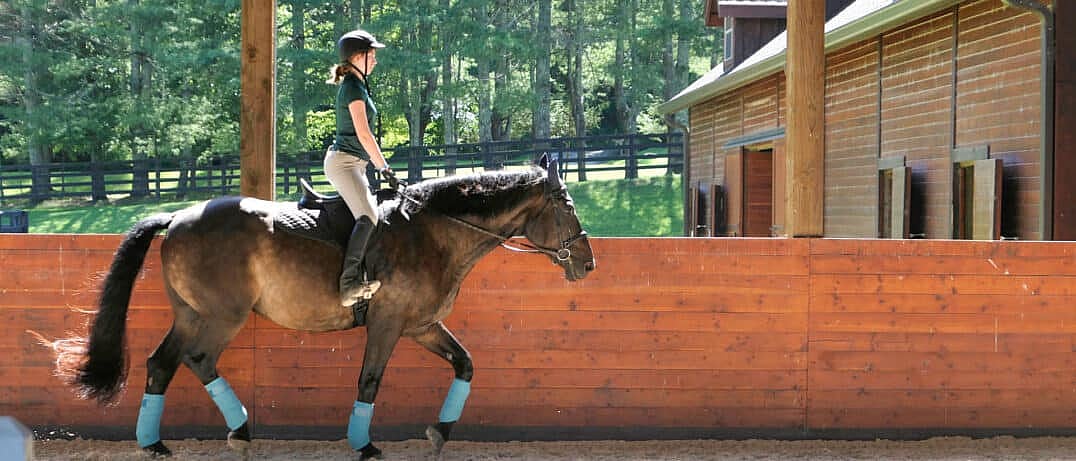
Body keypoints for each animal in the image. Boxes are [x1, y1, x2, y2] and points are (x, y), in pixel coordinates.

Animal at [42, 154, 595, 459]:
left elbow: (465, 364)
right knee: (199, 359)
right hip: (223, 317)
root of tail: (179, 217)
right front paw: (364, 444)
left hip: (191, 314)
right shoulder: (388, 324)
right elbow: (369, 381)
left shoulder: (422, 325)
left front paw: (439, 433)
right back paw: (239, 430)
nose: (588, 262)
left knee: (162, 363)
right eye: (567, 207)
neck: (434, 230)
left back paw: (154, 443)